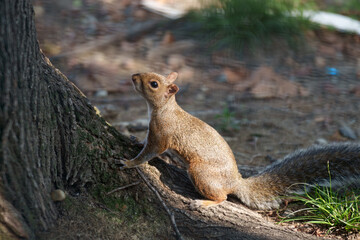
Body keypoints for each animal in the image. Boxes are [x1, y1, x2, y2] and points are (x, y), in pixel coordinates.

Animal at [119, 71, 360, 210]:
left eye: (153, 84)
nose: (133, 76)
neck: (164, 109)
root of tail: (236, 182)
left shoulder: (162, 135)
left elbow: (150, 152)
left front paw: (129, 162)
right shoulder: (153, 133)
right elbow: (146, 145)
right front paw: (135, 140)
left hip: (200, 172)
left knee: (223, 197)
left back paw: (204, 202)